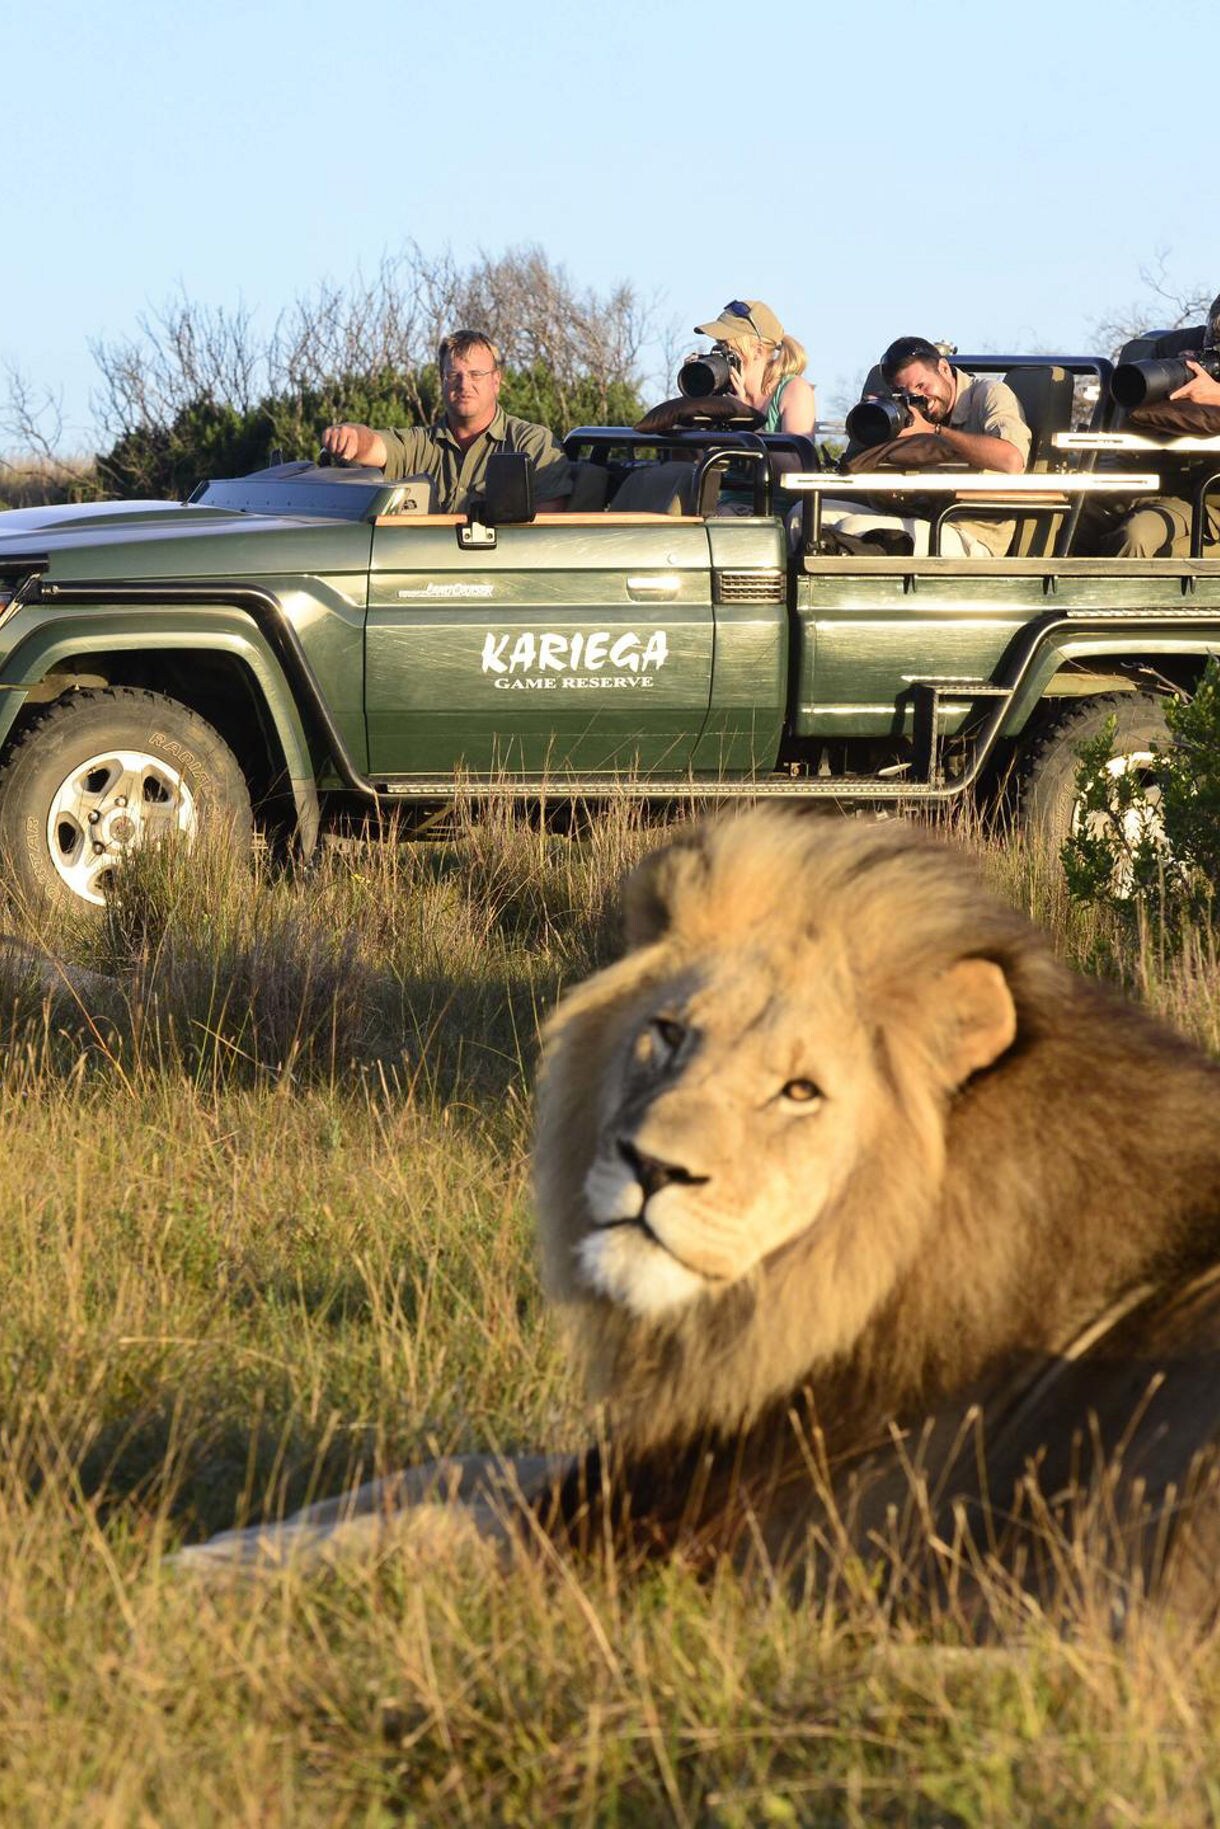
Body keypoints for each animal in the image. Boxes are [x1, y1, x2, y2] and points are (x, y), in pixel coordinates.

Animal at [184, 811, 1220, 1623]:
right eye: (670, 1032)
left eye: (801, 1091)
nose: (651, 1167)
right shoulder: (642, 1465)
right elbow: (441, 1470)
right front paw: (246, 1531)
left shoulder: (685, 1539)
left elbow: (432, 1527)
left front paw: (195, 1564)